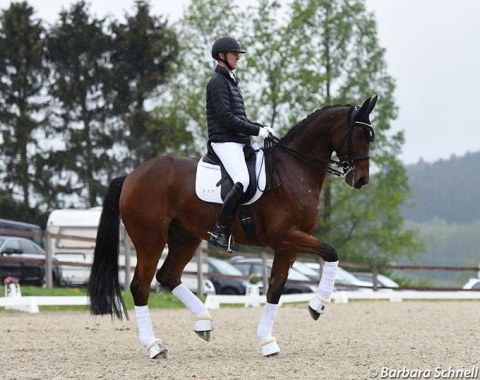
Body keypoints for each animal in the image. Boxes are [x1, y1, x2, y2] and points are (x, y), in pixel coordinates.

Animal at [88, 95, 376, 360]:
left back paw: (203, 322)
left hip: (185, 237)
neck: (294, 169)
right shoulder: (287, 236)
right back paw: (155, 346)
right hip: (151, 240)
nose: (361, 179)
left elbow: (275, 288)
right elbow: (331, 253)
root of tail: (131, 176)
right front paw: (317, 306)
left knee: (168, 276)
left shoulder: (288, 246)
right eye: (361, 134)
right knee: (140, 286)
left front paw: (267, 341)